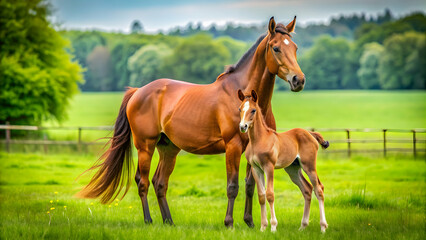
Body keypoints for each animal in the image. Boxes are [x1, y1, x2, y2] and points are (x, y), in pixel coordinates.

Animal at [238, 88, 328, 232]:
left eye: (253, 110)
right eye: (240, 109)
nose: (243, 126)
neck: (259, 140)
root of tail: (310, 133)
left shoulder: (269, 167)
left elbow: (270, 194)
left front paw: (273, 227)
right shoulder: (256, 168)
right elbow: (262, 196)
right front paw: (263, 227)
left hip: (309, 166)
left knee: (319, 189)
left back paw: (323, 227)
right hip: (293, 169)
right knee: (307, 189)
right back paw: (303, 226)